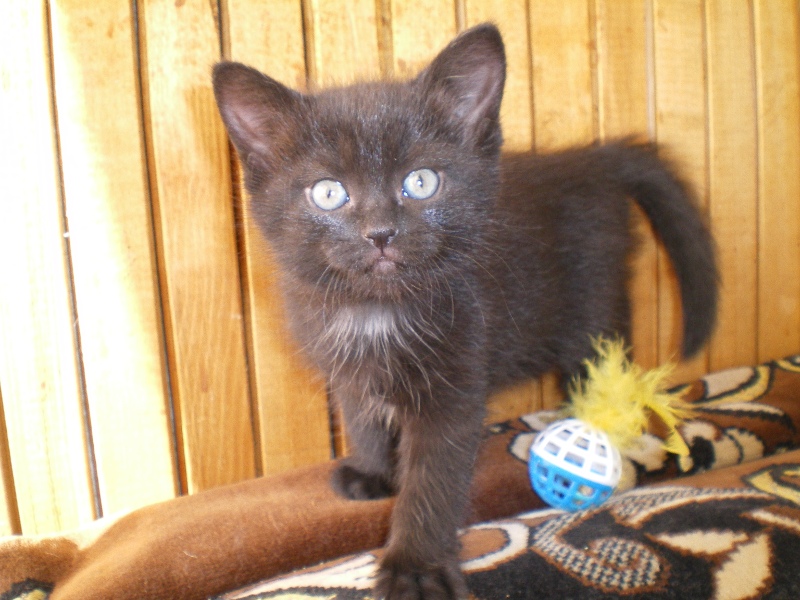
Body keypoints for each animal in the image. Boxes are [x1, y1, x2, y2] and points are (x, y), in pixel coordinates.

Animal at [213, 23, 718, 600]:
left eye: (421, 182)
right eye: (328, 193)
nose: (380, 233)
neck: (376, 311)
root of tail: (590, 160)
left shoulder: (457, 377)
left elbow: (434, 477)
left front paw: (414, 567)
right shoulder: (346, 367)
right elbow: (363, 415)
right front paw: (373, 471)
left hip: (594, 301)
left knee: (601, 362)